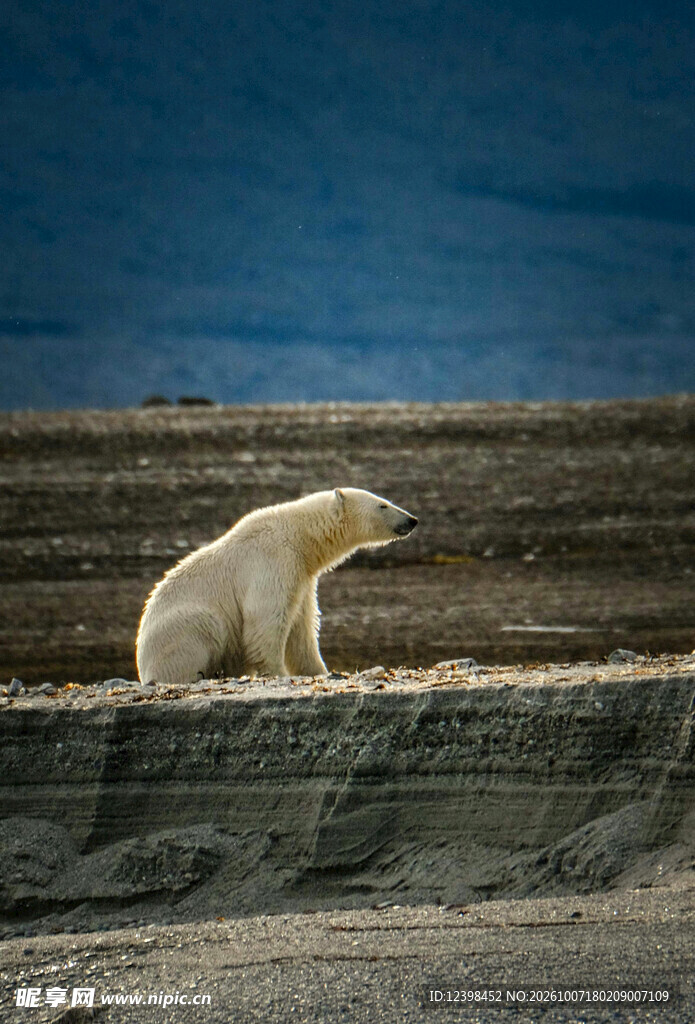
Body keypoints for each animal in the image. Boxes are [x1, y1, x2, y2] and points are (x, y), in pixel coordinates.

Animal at [136, 488, 418, 685]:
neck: (299, 536)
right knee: (204, 628)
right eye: (382, 504)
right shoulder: (273, 563)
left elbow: (302, 630)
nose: (412, 519)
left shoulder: (302, 578)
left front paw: (319, 671)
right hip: (181, 628)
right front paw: (278, 673)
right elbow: (266, 622)